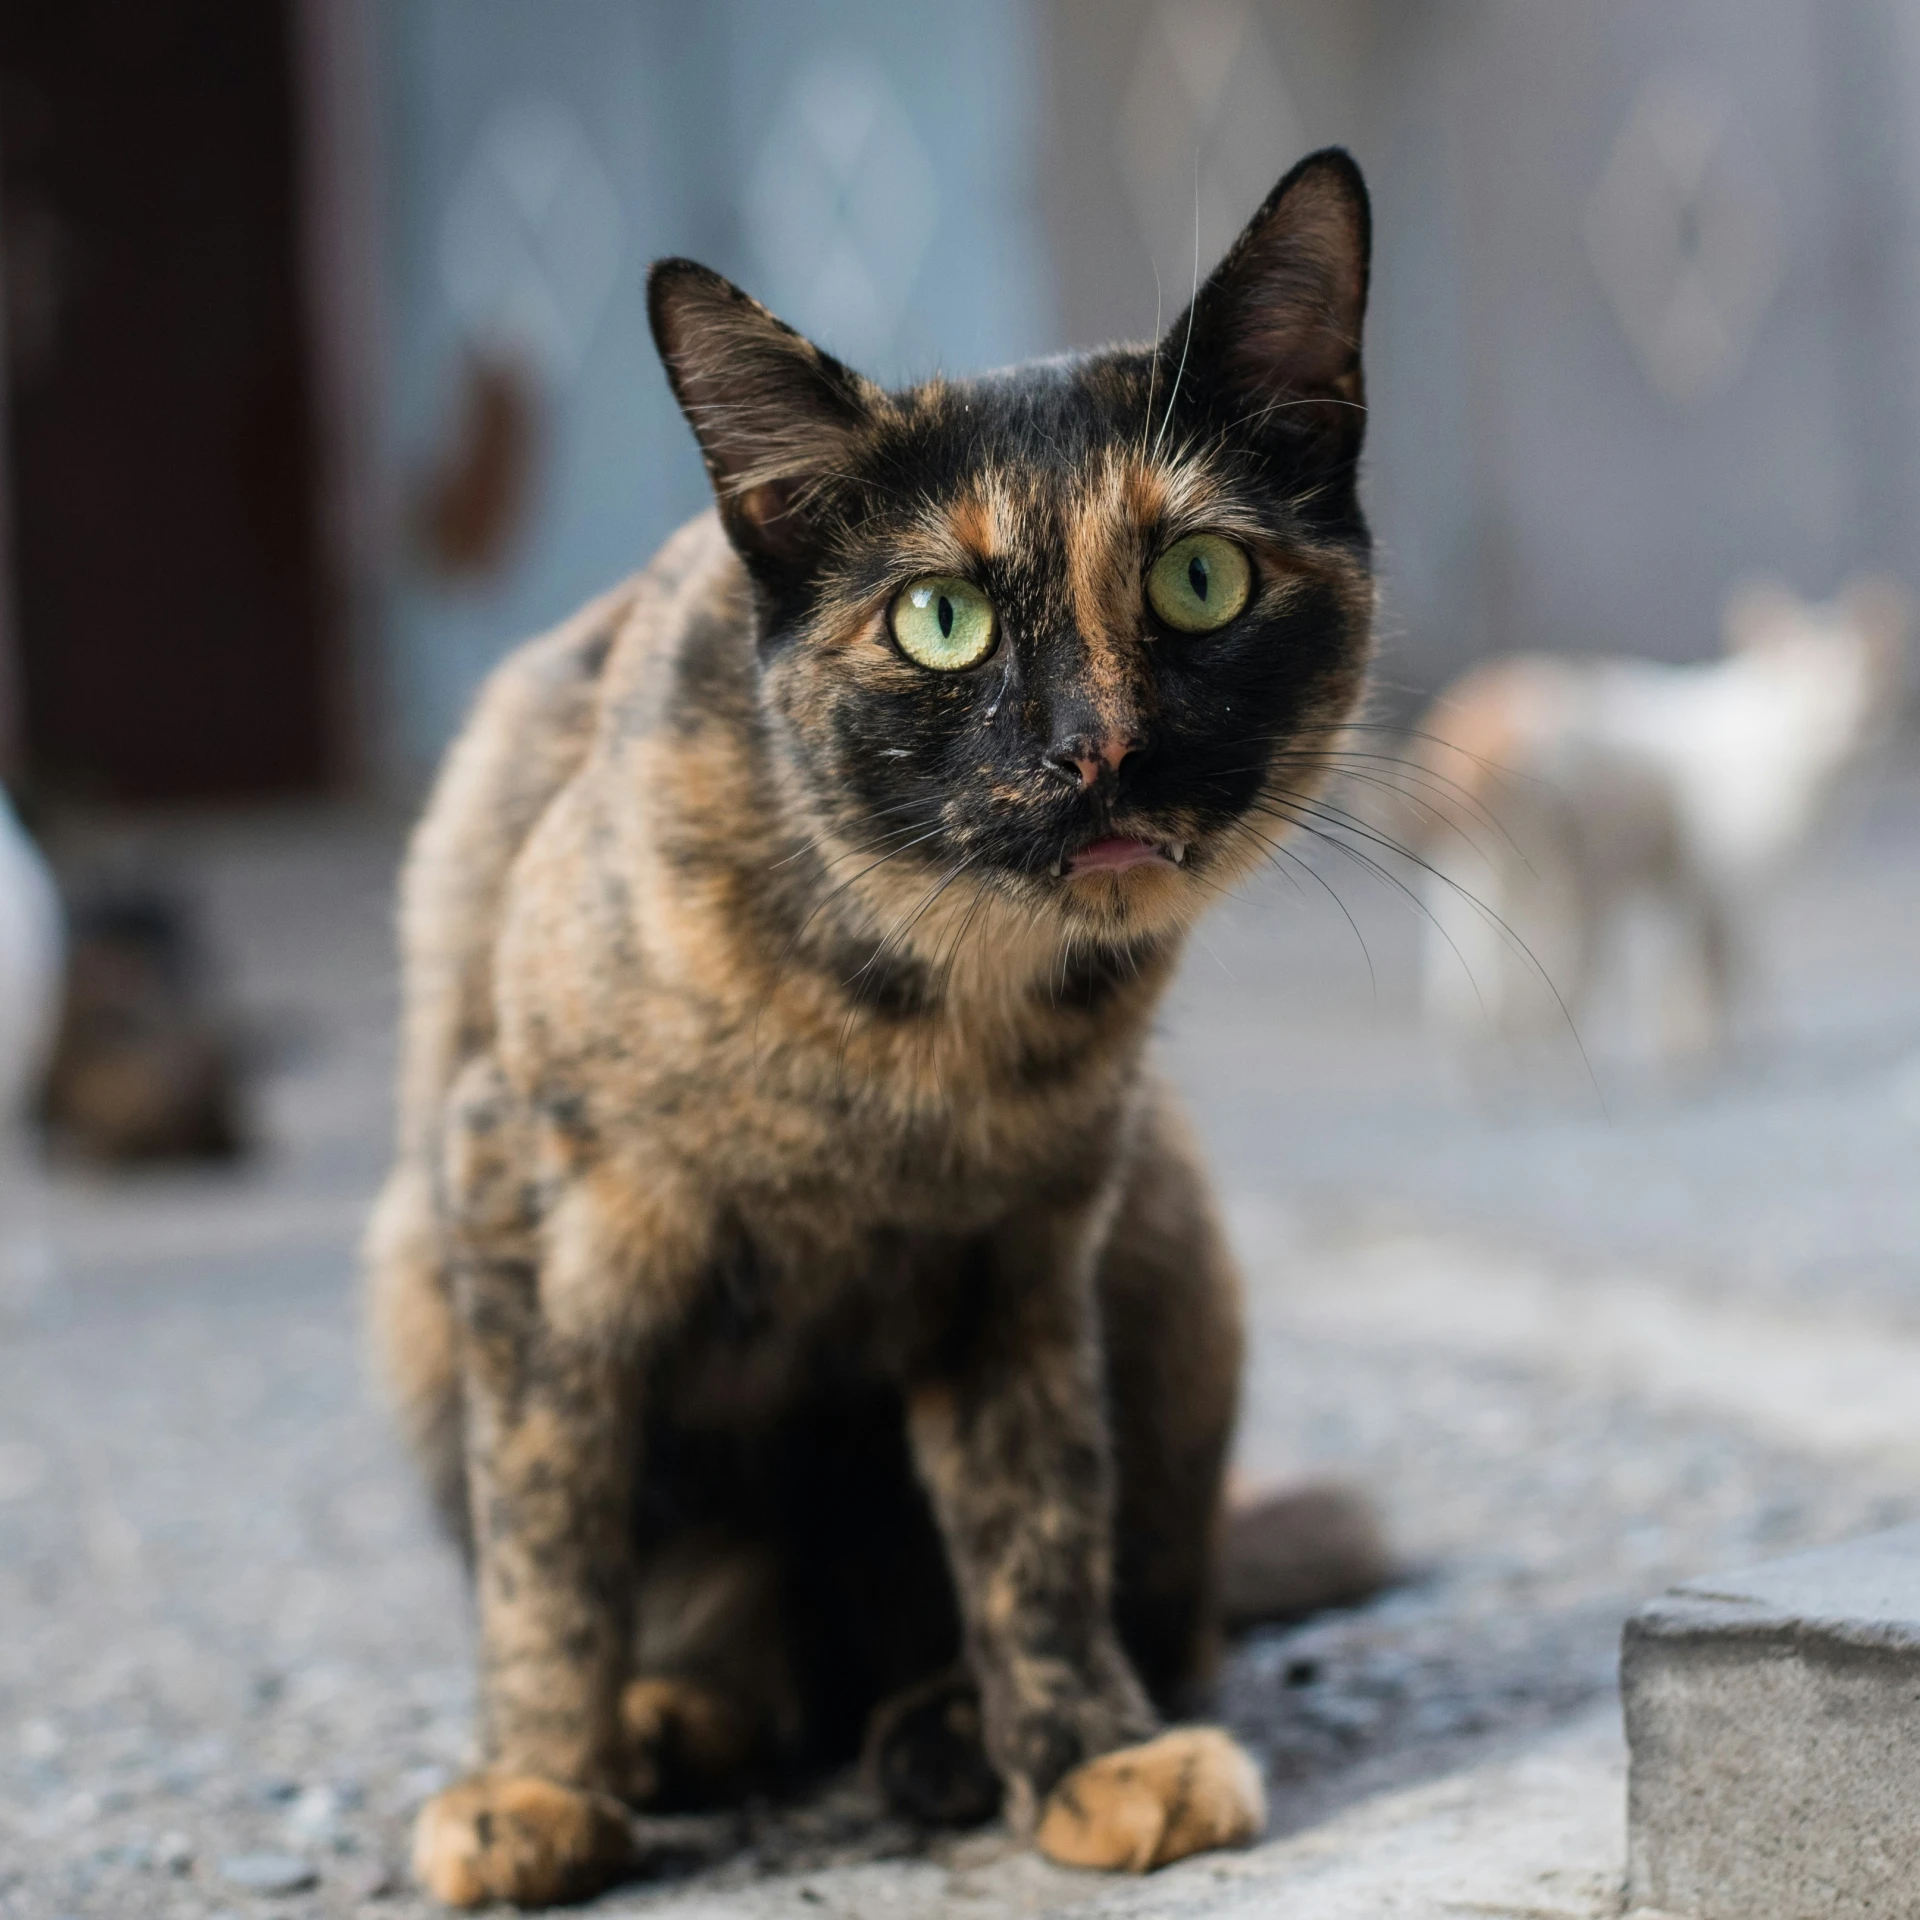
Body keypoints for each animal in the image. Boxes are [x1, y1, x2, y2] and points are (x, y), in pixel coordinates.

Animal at [366, 145, 1374, 1904]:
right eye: (940, 620)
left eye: (1200, 581)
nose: (1097, 750)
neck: (917, 1036)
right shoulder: (522, 1210)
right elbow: (551, 1534)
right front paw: (535, 1785)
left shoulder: (1023, 1262)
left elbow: (1037, 1522)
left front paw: (1088, 1753)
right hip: (413, 1274)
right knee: (730, 1645)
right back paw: (667, 1722)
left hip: (1172, 1233)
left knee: (1157, 1613)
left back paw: (947, 1728)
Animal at [1405, 576, 1912, 1067]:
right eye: (1807, 679)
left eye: (1865, 675)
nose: (1853, 720)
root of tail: (1480, 709)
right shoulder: (1722, 874)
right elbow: (1727, 962)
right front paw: (1731, 1038)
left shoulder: (1686, 882)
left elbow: (1703, 966)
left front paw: (1703, 1038)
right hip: (1561, 873)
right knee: (1540, 968)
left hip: (1490, 872)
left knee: (1471, 968)